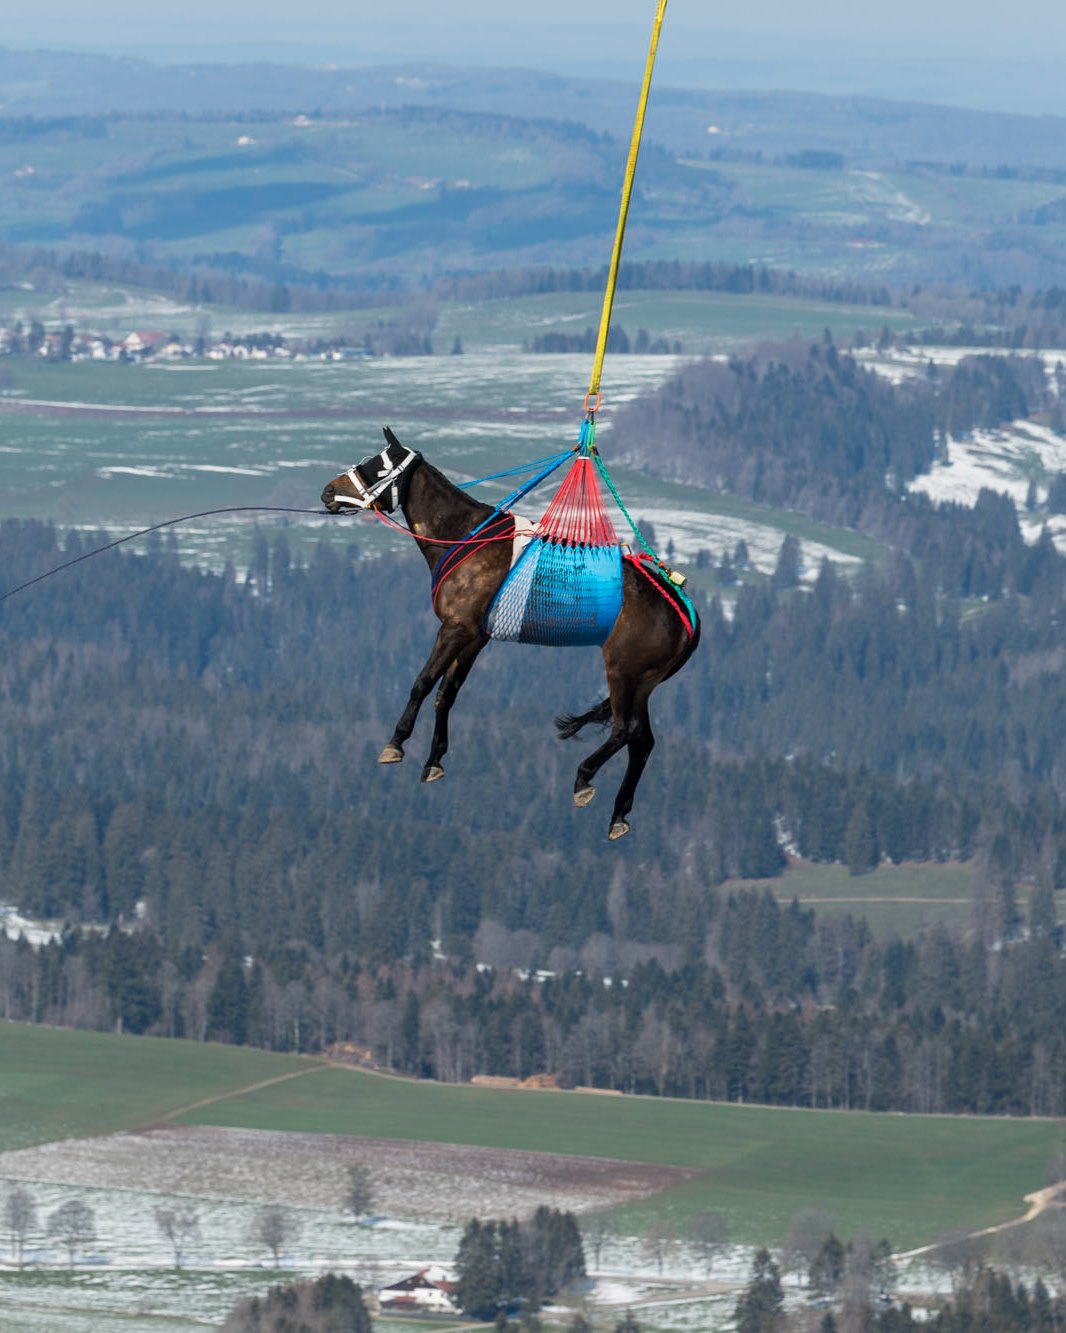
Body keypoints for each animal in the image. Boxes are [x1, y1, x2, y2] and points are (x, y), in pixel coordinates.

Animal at [318, 429, 698, 842]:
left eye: (377, 465)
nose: (328, 491)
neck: (464, 538)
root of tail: (683, 611)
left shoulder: (454, 628)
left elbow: (423, 684)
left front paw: (397, 741)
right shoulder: (474, 636)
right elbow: (446, 694)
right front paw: (435, 757)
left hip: (623, 670)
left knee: (624, 729)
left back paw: (585, 776)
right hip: (643, 681)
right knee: (642, 741)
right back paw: (620, 813)